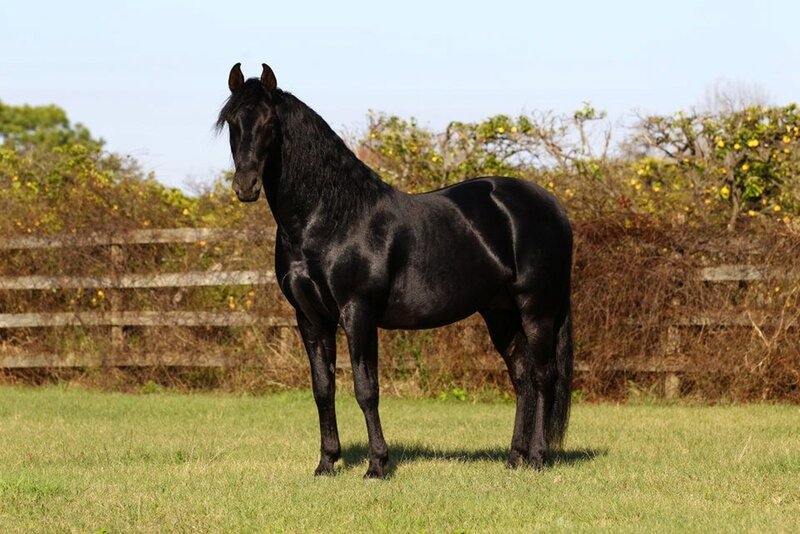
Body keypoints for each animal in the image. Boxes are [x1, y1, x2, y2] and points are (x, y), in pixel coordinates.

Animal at [217, 63, 574, 479]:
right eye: (231, 121)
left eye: (269, 122)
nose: (245, 185)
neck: (330, 219)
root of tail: (550, 204)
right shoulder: (310, 317)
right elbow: (323, 388)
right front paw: (326, 463)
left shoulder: (358, 312)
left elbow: (366, 388)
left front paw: (377, 465)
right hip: (500, 312)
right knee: (522, 377)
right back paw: (514, 458)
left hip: (537, 309)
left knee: (544, 376)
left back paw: (537, 457)